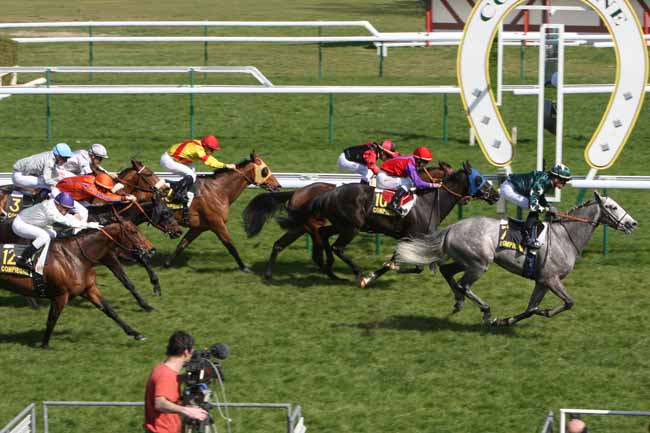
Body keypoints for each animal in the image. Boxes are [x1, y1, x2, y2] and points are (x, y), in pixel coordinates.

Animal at [0, 216, 155, 348]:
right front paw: (45, 345)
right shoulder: (60, 296)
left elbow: (110, 311)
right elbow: (52, 319)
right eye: (133, 231)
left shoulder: (89, 289)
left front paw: (135, 333)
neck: (76, 256)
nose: (151, 249)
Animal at [242, 162, 455, 280]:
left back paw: (271, 273)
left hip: (303, 227)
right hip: (322, 225)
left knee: (281, 244)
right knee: (320, 249)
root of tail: (298, 192)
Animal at [281, 161, 500, 285]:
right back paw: (356, 272)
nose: (496, 195)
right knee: (338, 247)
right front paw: (371, 275)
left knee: (324, 234)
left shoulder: (410, 238)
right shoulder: (412, 237)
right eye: (478, 179)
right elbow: (408, 264)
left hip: (340, 224)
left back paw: (329, 268)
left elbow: (410, 262)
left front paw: (379, 272)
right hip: (352, 227)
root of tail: (327, 193)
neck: (428, 201)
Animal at [395, 191, 637, 326]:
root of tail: (452, 228)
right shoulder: (551, 279)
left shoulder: (542, 281)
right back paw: (485, 311)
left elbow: (531, 308)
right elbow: (569, 302)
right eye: (612, 206)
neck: (565, 237)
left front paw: (507, 320)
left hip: (467, 260)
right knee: (464, 284)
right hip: (479, 264)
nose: (632, 223)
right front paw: (543, 311)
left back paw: (459, 302)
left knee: (448, 272)